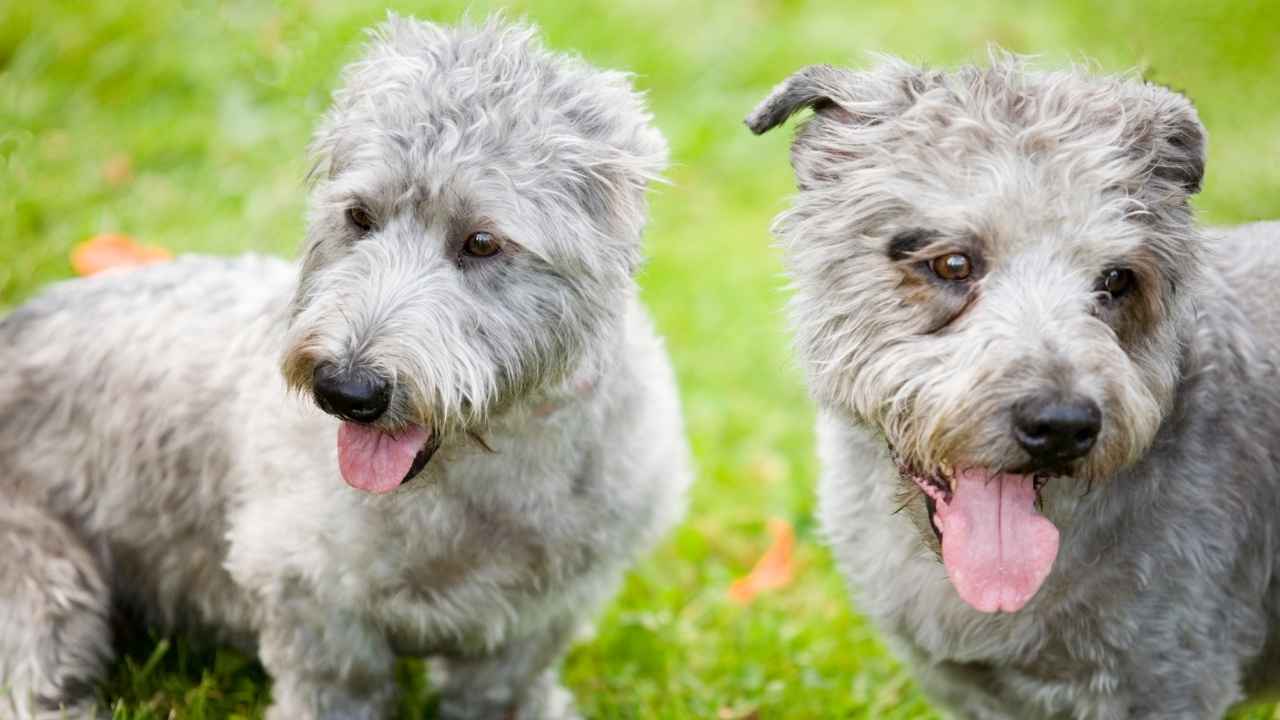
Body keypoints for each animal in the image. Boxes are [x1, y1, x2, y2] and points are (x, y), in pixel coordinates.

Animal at [0, 16, 691, 717]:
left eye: (482, 242)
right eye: (359, 215)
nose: (345, 390)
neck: (480, 471)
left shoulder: (543, 615)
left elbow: (505, 685)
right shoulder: (306, 592)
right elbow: (341, 683)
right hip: (44, 581)